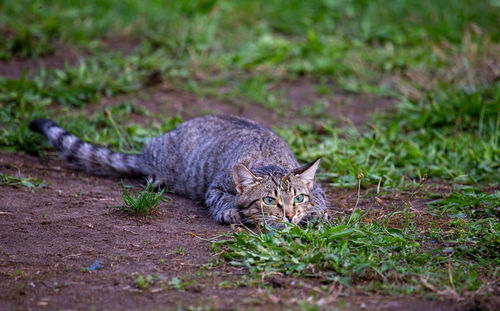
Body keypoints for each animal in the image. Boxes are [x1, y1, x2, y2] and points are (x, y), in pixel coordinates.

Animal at [30, 114, 328, 229]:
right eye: (268, 200)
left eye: (298, 198)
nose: (289, 215)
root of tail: (147, 151)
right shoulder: (215, 187)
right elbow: (221, 200)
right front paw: (232, 212)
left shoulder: (318, 190)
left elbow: (321, 203)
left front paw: (313, 215)